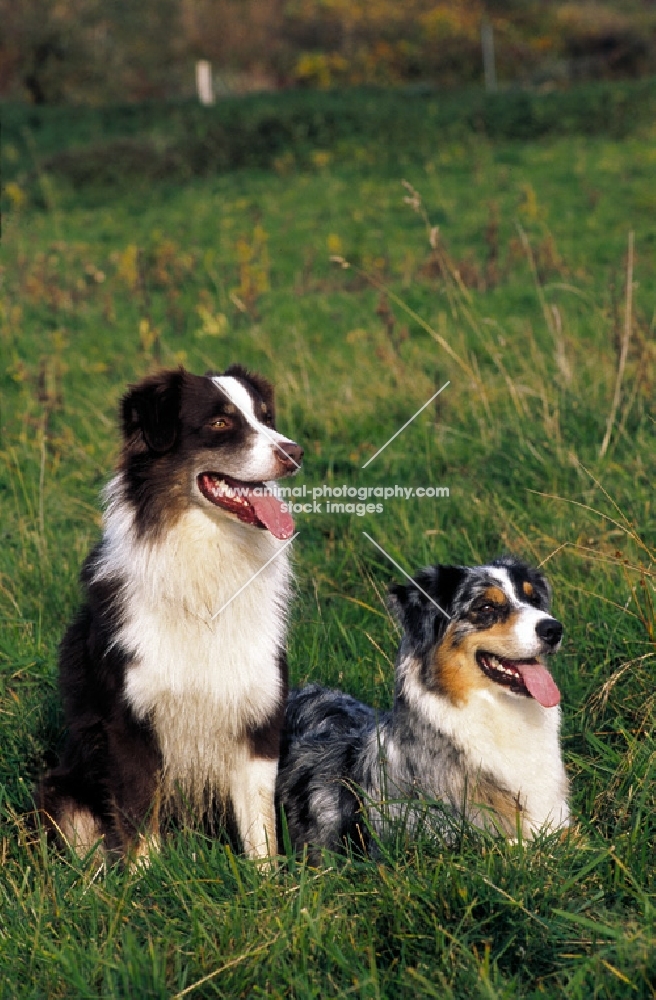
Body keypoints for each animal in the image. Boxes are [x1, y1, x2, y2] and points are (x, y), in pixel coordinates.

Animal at [42, 366, 304, 860]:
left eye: (264, 417)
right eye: (220, 423)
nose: (294, 453)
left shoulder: (257, 714)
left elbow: (260, 830)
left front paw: (268, 880)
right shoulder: (128, 722)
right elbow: (139, 823)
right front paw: (148, 879)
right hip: (61, 789)